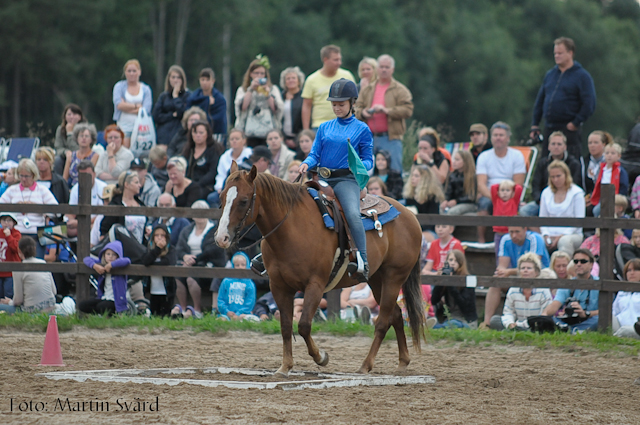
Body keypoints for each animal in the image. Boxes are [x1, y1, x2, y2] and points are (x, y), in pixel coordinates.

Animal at [214, 161, 424, 374]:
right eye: (222, 198)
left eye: (243, 200)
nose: (221, 238)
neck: (292, 229)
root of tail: (409, 215)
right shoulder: (279, 286)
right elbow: (286, 326)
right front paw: (285, 366)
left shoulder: (315, 284)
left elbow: (304, 325)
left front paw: (321, 357)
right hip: (376, 279)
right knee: (396, 315)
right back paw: (403, 361)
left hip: (394, 277)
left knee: (382, 322)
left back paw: (366, 365)